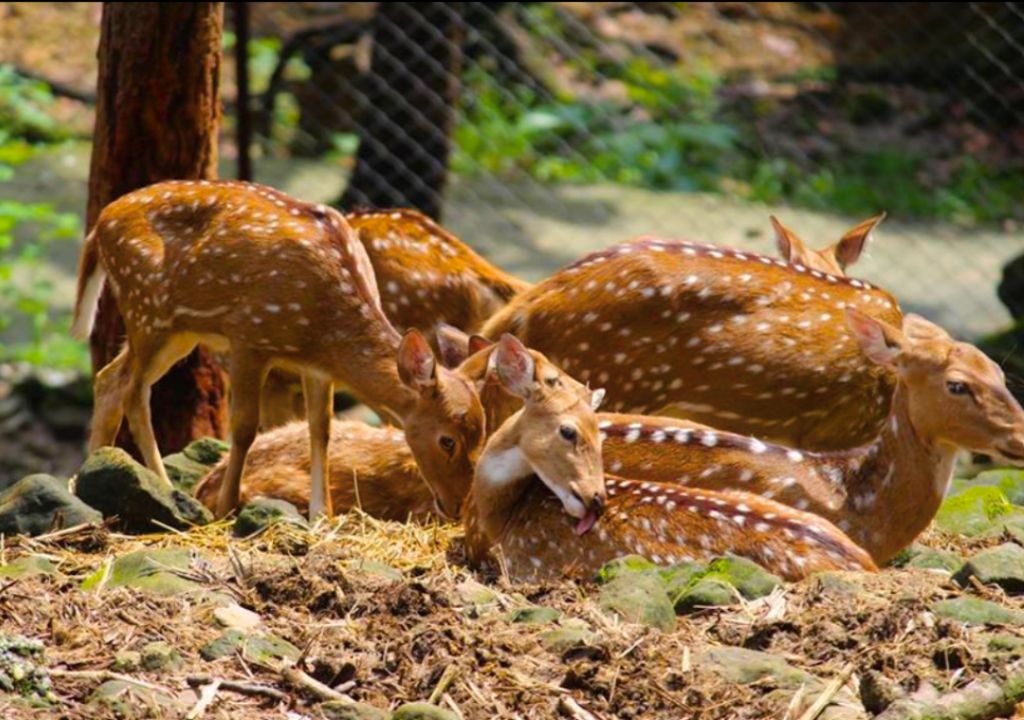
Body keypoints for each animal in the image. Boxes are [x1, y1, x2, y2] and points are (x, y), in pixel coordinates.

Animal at [70, 179, 483, 521]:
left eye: (482, 435)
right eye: (447, 440)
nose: (457, 507)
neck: (325, 328)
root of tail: (99, 224)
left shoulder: (317, 367)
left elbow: (321, 430)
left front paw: (321, 515)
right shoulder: (248, 337)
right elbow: (244, 428)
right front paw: (225, 507)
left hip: (178, 330)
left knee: (110, 379)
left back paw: (92, 475)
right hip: (146, 309)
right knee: (132, 389)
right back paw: (165, 488)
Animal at [459, 334, 875, 582]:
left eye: (599, 431)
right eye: (568, 430)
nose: (597, 499)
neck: (501, 519)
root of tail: (868, 565)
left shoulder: (527, 569)